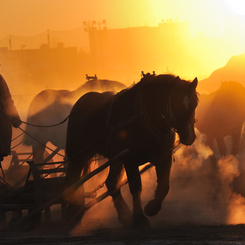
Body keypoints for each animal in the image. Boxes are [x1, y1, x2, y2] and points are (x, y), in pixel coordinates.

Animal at [65, 72, 199, 226]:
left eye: (195, 103)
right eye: (176, 104)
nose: (190, 136)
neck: (143, 118)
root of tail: (80, 102)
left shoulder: (163, 157)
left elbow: (164, 186)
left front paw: (151, 208)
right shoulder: (129, 159)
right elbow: (135, 187)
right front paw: (139, 217)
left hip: (115, 158)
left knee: (111, 183)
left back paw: (123, 215)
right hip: (77, 155)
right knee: (72, 179)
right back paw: (72, 210)